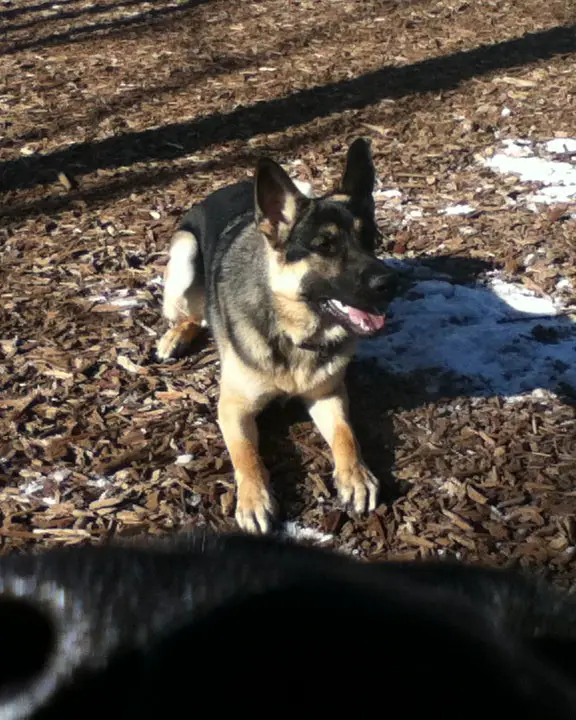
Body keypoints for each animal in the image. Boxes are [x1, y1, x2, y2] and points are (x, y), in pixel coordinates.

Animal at [159, 139, 400, 536]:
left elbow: (346, 434)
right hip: (184, 257)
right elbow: (247, 455)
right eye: (325, 246)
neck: (290, 331)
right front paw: (254, 499)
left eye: (371, 240)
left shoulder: (328, 395)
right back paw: (174, 337)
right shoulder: (233, 408)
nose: (391, 284)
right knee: (193, 313)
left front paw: (356, 476)